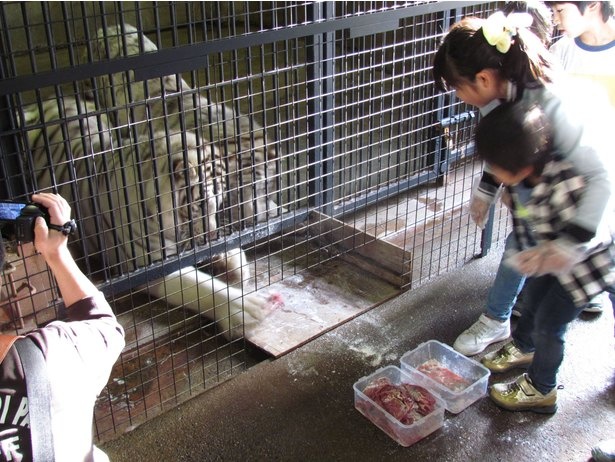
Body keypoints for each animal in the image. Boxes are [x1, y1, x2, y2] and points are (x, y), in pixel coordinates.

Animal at [18, 97, 280, 342]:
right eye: (201, 204)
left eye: (221, 202)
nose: (212, 236)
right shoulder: (149, 266)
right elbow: (200, 284)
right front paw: (246, 309)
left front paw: (235, 263)